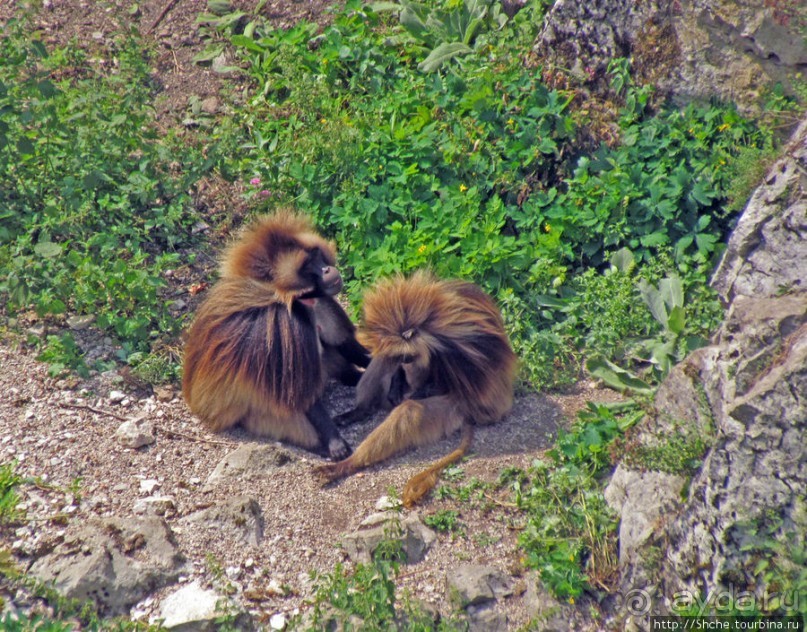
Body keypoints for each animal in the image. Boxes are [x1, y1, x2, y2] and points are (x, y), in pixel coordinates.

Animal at [182, 210, 370, 462]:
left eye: (316, 255)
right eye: (308, 265)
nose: (328, 270)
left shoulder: (321, 300)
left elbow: (344, 344)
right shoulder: (288, 326)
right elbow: (301, 395)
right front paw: (335, 442)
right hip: (249, 418)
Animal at [316, 270, 516, 506]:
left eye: (406, 356)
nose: (404, 362)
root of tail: (470, 417)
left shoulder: (458, 347)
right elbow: (390, 361)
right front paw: (397, 381)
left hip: (454, 412)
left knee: (411, 410)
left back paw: (346, 464)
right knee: (384, 368)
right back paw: (360, 412)